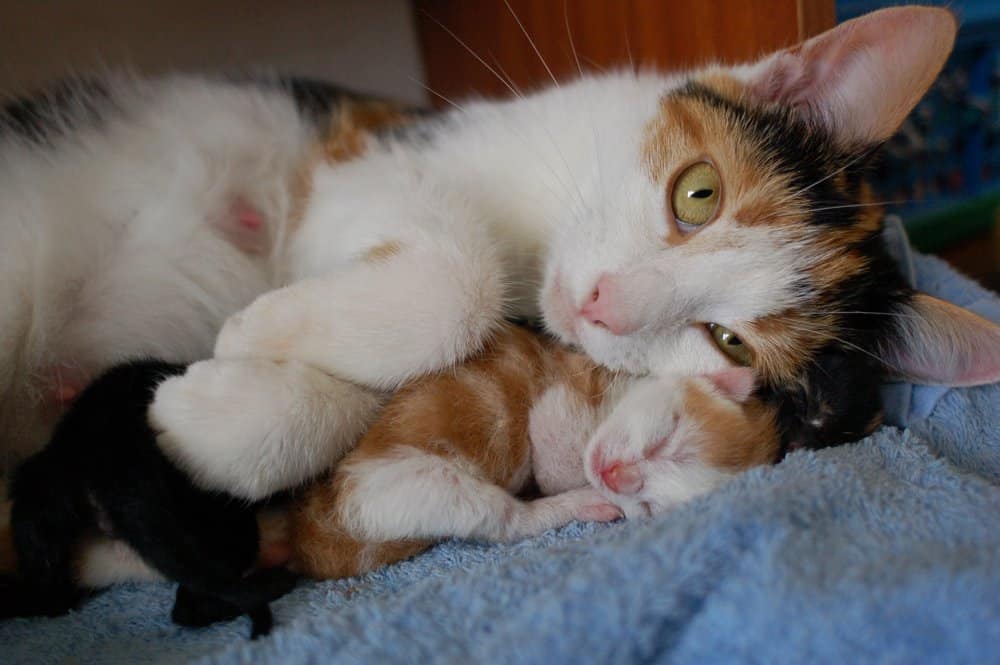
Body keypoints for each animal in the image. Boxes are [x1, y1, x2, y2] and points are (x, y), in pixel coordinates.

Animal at [0, 7, 996, 520]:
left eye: (731, 345)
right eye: (698, 194)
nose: (600, 303)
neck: (535, 238)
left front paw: (229, 398)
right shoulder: (357, 152)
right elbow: (456, 281)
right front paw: (254, 324)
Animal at [290, 324, 772, 580]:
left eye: (650, 506)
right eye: (666, 434)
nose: (616, 476)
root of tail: (314, 536)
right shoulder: (564, 393)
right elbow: (555, 450)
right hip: (395, 485)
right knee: (507, 522)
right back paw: (575, 501)